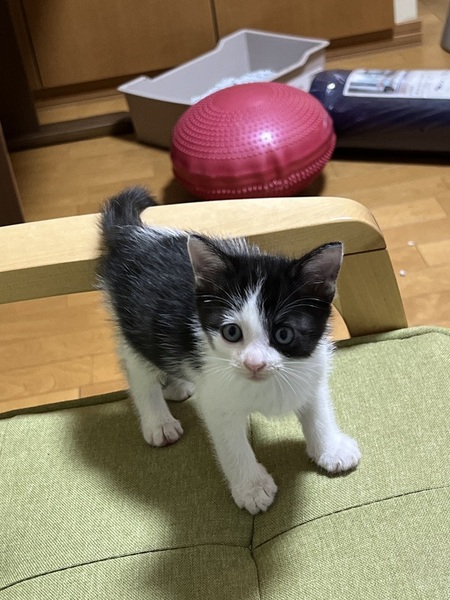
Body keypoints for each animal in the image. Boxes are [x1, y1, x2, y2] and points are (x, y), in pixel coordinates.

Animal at [97, 187, 361, 514]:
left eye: (284, 334)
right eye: (232, 332)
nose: (254, 364)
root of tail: (134, 236)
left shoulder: (313, 364)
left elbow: (317, 407)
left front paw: (330, 448)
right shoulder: (216, 395)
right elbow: (231, 443)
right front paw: (252, 487)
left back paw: (177, 385)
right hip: (135, 322)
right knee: (137, 366)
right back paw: (158, 421)